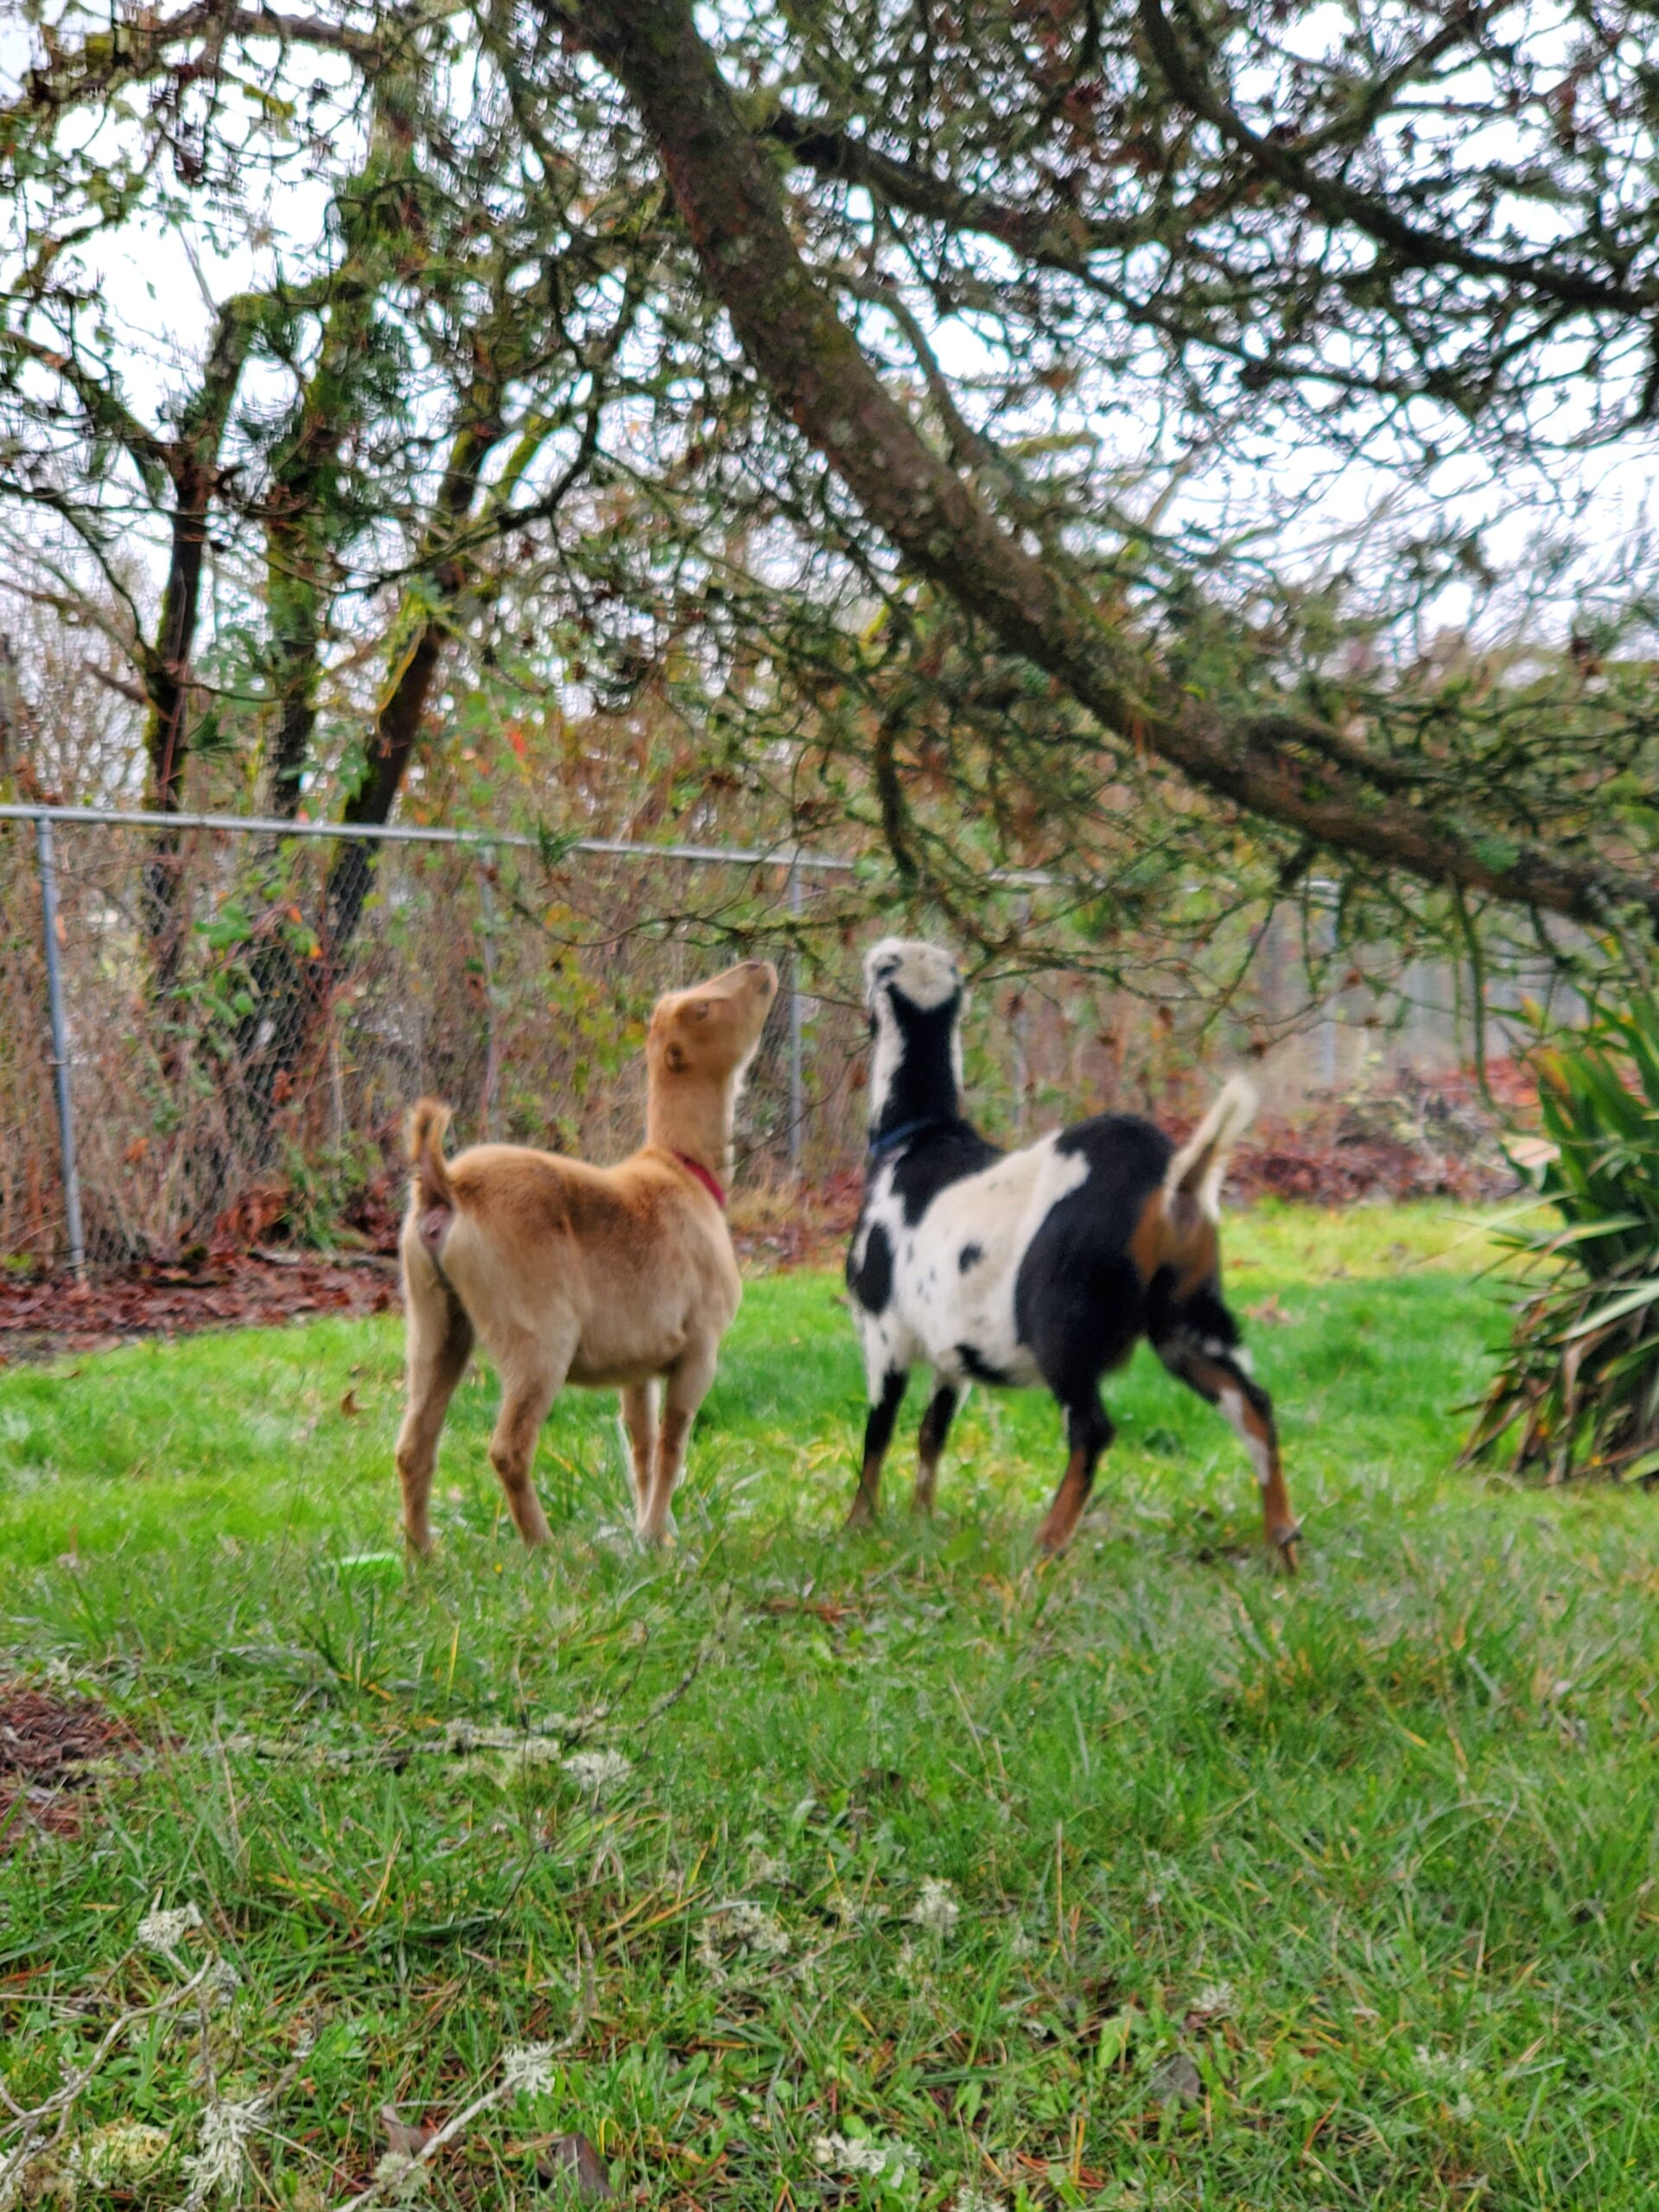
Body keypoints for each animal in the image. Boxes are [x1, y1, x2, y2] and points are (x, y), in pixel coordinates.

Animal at [396, 958, 777, 1550]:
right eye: (702, 1009)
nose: (758, 966)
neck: (682, 1170)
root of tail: (447, 1185)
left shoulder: (639, 1362)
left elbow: (642, 1446)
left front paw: (654, 1537)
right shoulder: (699, 1347)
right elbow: (672, 1444)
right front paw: (655, 1534)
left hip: (435, 1321)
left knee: (415, 1446)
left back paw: (423, 1556)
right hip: (538, 1334)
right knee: (508, 1448)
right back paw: (545, 1548)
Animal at [844, 939, 1299, 1565]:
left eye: (878, 965)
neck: (916, 1140)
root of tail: (1169, 1180)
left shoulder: (883, 1330)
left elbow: (879, 1430)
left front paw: (859, 1526)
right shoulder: (950, 1351)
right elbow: (932, 1433)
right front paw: (922, 1522)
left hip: (1064, 1326)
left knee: (1093, 1429)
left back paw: (1047, 1545)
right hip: (1189, 1319)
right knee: (1254, 1407)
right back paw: (1283, 1543)